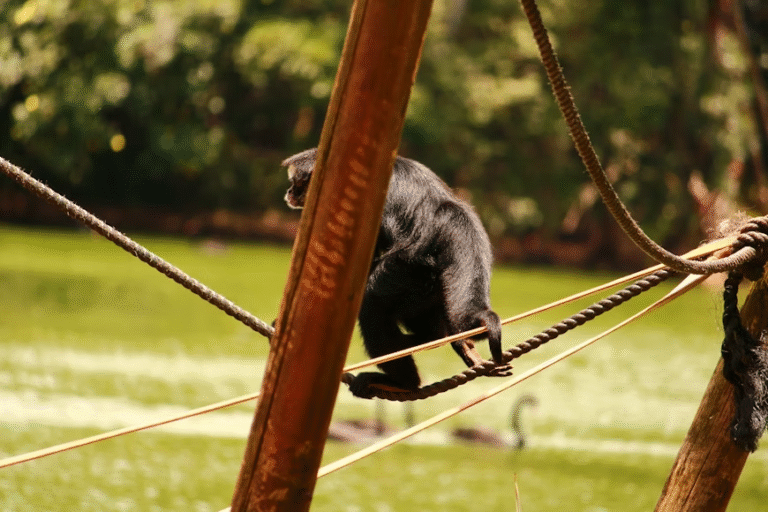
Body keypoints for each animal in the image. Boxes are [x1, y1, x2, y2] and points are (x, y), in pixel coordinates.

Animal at [283, 148, 508, 398]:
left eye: (296, 183)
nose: (290, 191)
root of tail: (446, 210)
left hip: (408, 267)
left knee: (372, 303)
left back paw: (403, 382)